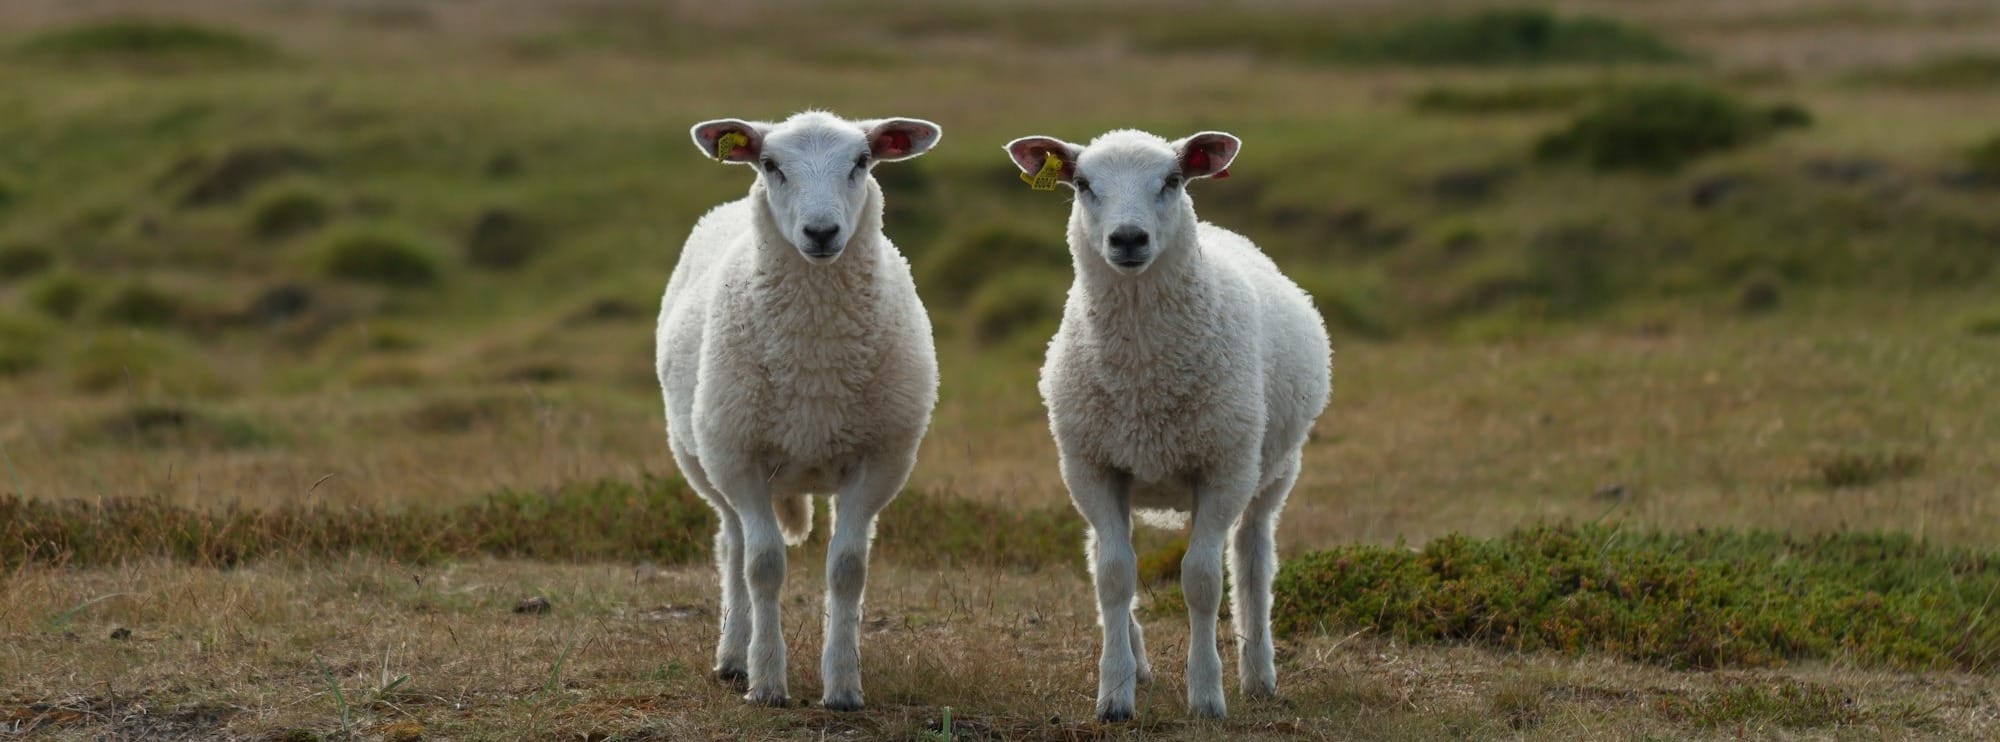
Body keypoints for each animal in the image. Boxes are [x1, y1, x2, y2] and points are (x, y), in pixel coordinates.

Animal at [658, 111, 941, 711]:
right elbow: (763, 567)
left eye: (862, 161)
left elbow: (848, 569)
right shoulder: (741, 460)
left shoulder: (878, 463)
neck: (816, 360)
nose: (821, 232)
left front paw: (843, 684)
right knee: (733, 546)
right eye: (770, 164)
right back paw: (734, 656)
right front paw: (767, 681)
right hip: (707, 460)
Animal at [1003, 129, 1332, 721]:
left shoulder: (1223, 469)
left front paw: (1206, 695)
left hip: (1272, 470)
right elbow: (1114, 576)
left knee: (1252, 559)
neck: (1144, 376)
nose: (1128, 238)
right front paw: (1114, 694)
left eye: (1173, 180)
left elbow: (1201, 581)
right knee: (1102, 555)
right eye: (1082, 184)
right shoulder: (1092, 468)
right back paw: (1138, 662)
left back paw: (1258, 673)